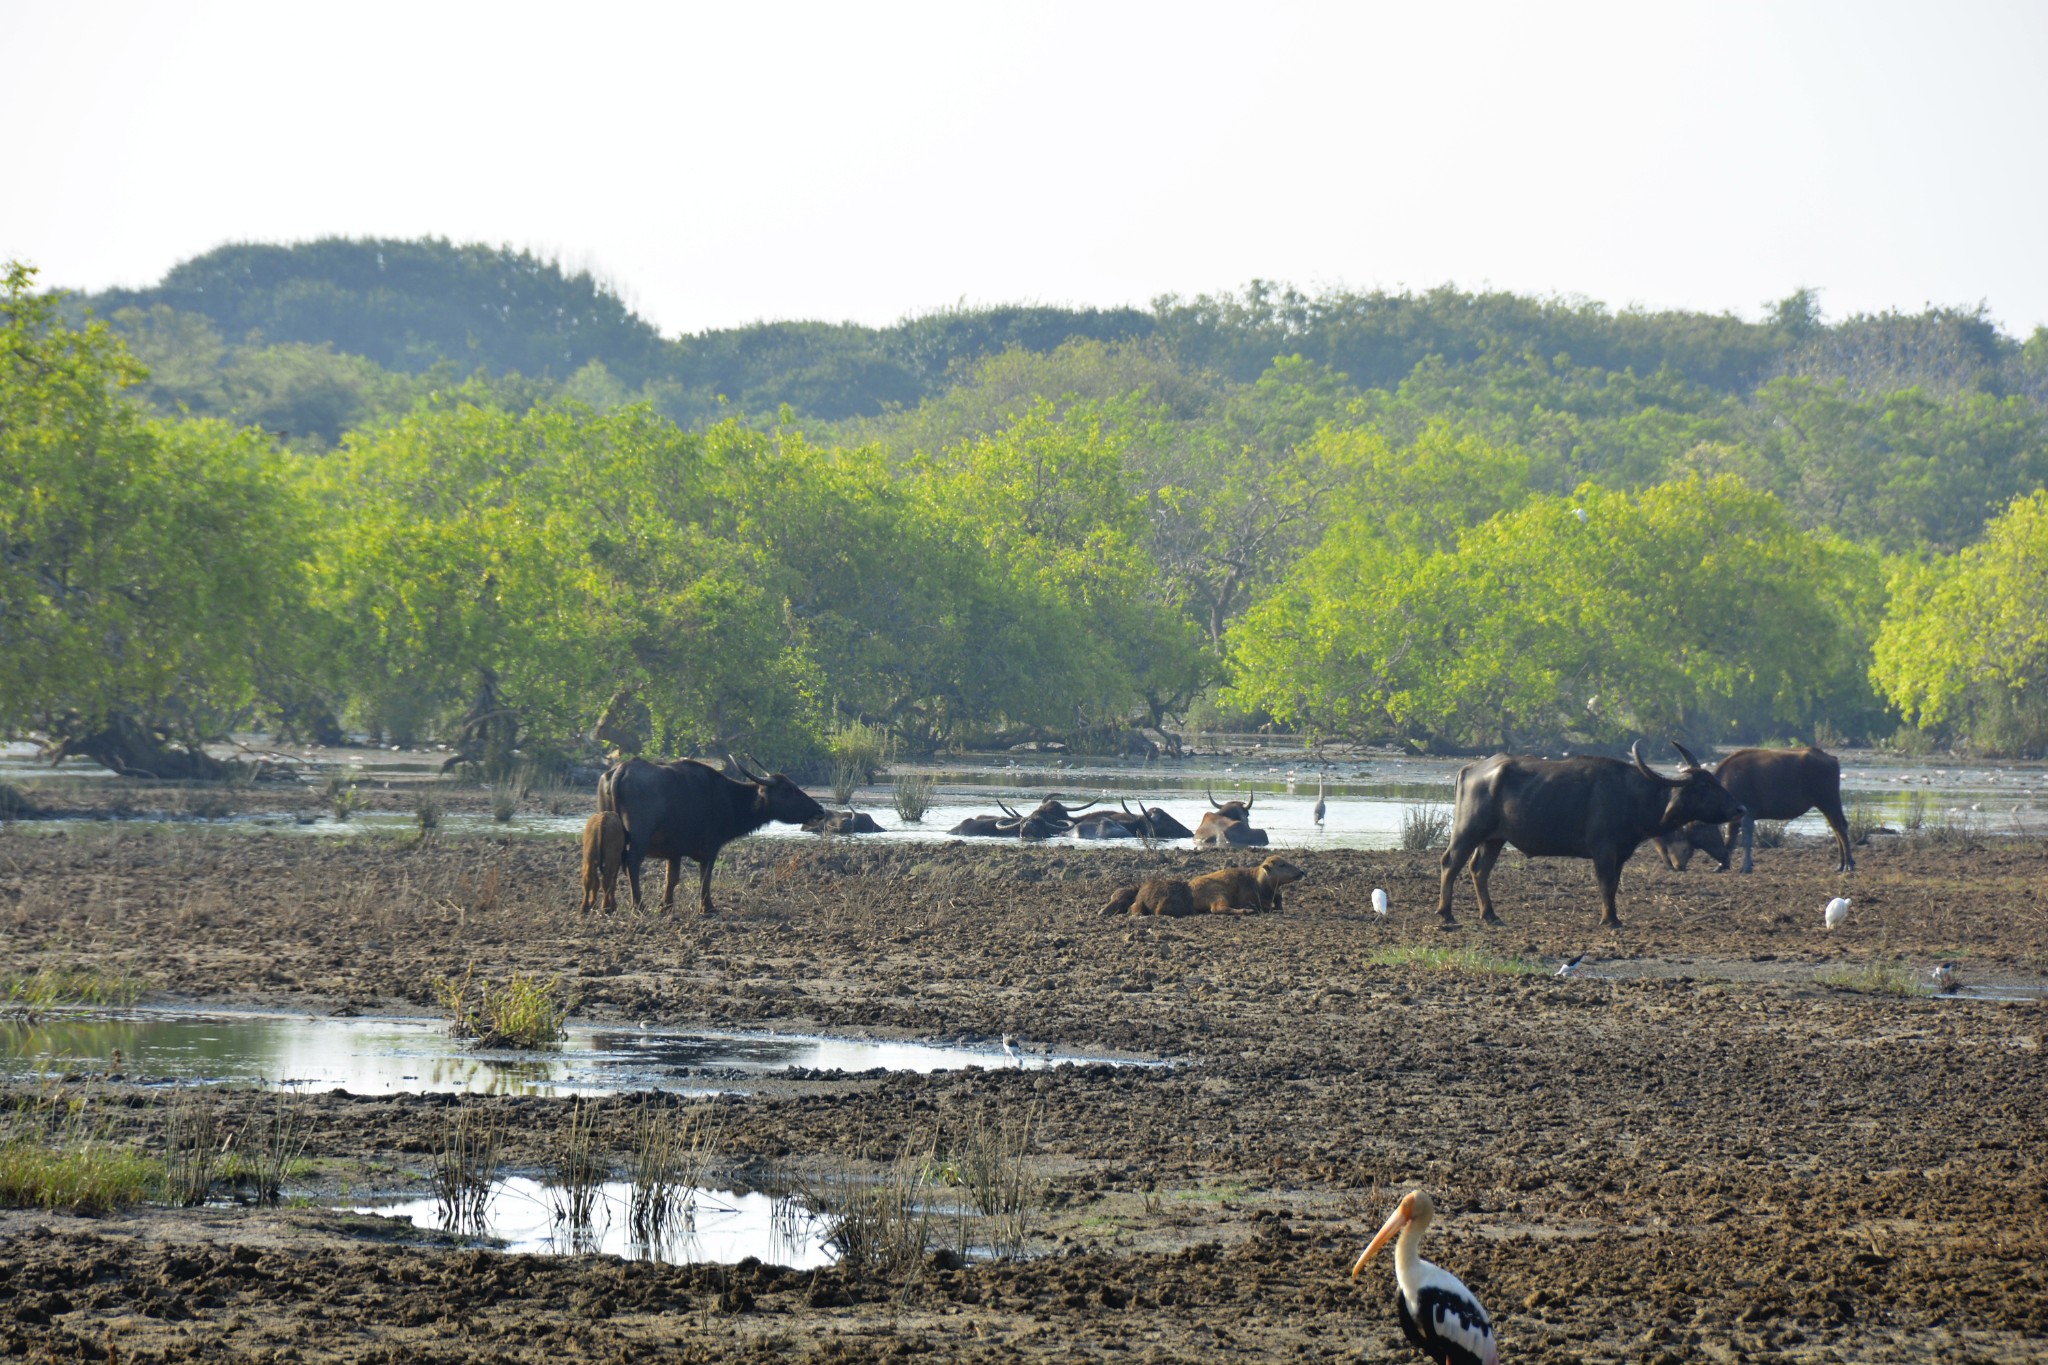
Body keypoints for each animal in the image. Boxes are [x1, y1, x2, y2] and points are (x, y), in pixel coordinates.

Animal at [593, 753, 823, 912]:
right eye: (788, 790)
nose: (820, 810)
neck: (728, 798)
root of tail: (621, 769)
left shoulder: (674, 851)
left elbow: (672, 878)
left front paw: (666, 905)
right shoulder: (711, 848)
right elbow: (706, 877)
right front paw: (708, 907)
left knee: (611, 864)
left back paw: (609, 907)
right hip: (639, 838)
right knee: (631, 863)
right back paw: (638, 906)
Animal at [1097, 855, 1302, 916]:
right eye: (1281, 865)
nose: (1301, 872)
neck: (1261, 883)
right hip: (1219, 895)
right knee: (1217, 909)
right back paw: (1245, 911)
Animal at [1441, 740, 1744, 933]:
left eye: (1714, 781)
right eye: (1704, 785)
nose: (1739, 808)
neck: (1636, 796)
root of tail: (1470, 769)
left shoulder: (1621, 854)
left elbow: (1614, 885)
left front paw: (1614, 917)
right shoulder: (1603, 851)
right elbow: (1605, 885)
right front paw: (1610, 920)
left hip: (1494, 839)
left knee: (1479, 870)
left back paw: (1490, 915)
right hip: (1467, 832)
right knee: (1450, 864)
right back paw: (1446, 914)